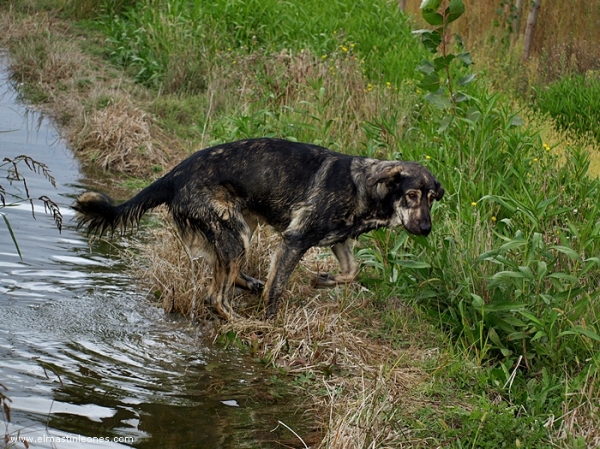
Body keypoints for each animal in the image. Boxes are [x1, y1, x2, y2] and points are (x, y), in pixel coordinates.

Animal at [72, 136, 442, 318]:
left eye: (431, 198)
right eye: (411, 195)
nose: (426, 229)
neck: (363, 186)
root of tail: (175, 173)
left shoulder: (338, 240)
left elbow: (353, 270)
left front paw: (323, 280)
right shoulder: (295, 239)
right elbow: (277, 287)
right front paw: (270, 319)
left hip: (241, 228)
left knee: (225, 275)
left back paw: (249, 284)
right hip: (234, 234)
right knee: (214, 297)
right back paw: (238, 322)